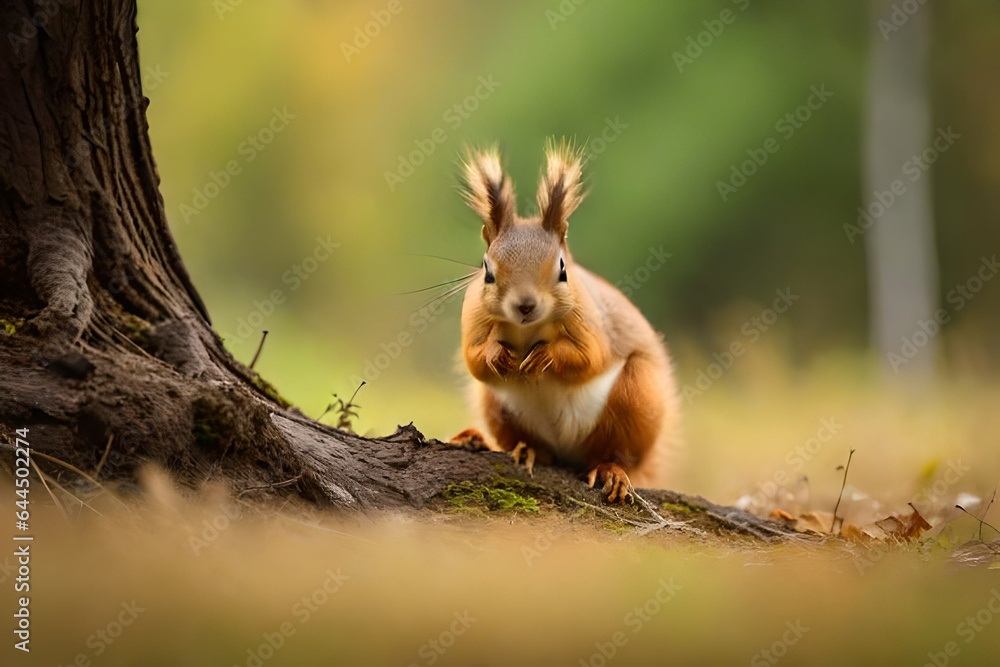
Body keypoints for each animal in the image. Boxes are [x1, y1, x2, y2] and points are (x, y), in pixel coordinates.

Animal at [452, 140, 678, 503]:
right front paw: (497, 355)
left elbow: (589, 358)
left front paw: (545, 356)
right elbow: (474, 360)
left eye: (562, 268)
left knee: (617, 453)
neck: (527, 330)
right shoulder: (474, 318)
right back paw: (529, 450)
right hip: (497, 407)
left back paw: (611, 471)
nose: (525, 305)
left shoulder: (590, 321)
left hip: (635, 398)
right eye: (487, 270)